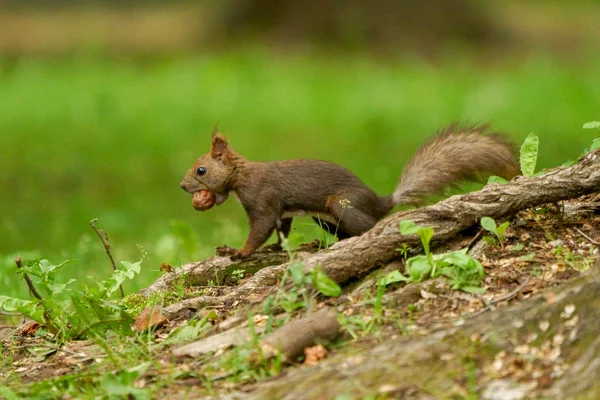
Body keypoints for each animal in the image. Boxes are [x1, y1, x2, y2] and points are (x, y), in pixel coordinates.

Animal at [179, 124, 520, 260]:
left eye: (201, 170)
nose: (183, 186)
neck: (242, 175)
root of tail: (382, 202)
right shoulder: (281, 211)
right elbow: (282, 231)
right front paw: (277, 248)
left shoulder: (262, 199)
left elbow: (260, 230)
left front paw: (238, 252)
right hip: (325, 217)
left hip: (341, 204)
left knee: (367, 228)